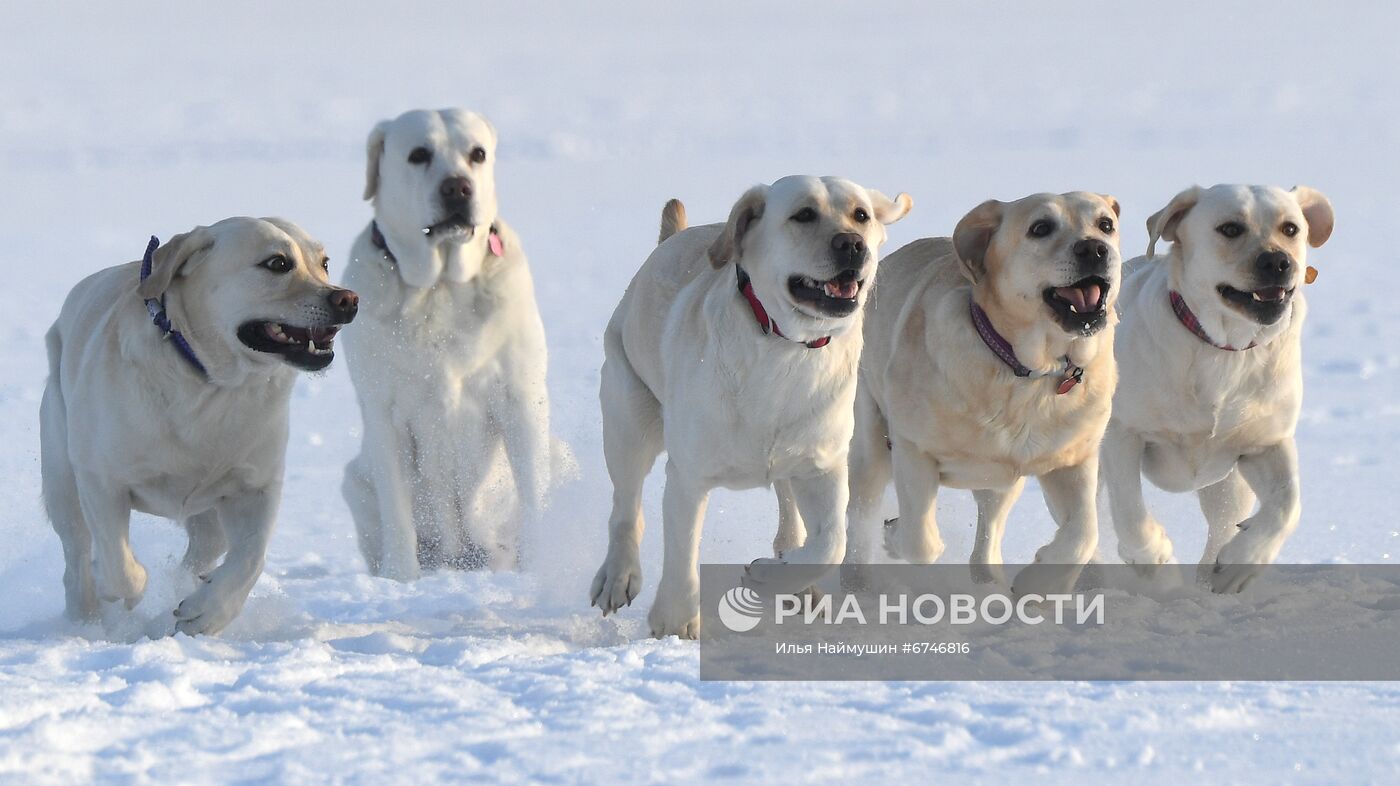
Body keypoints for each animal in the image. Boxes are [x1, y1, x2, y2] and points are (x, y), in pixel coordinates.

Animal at [43, 217, 361, 633]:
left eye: (324, 263)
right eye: (277, 263)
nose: (348, 299)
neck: (213, 384)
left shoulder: (256, 486)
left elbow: (251, 558)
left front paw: (205, 611)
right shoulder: (100, 479)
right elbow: (121, 567)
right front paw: (120, 587)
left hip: (209, 515)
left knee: (202, 552)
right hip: (61, 478)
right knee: (76, 555)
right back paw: (86, 618)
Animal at [341, 107, 554, 580]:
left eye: (478, 153)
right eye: (418, 154)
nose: (458, 187)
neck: (439, 286)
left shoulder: (520, 398)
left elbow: (533, 494)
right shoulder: (383, 412)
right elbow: (398, 511)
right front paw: (401, 578)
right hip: (355, 481)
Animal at [1103, 183, 1332, 588]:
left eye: (1290, 228)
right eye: (1230, 229)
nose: (1277, 262)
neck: (1226, 349)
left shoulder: (1265, 442)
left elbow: (1288, 504)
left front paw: (1241, 563)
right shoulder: (1122, 432)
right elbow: (1129, 508)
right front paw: (1156, 558)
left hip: (1227, 486)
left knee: (1223, 521)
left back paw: (1209, 576)